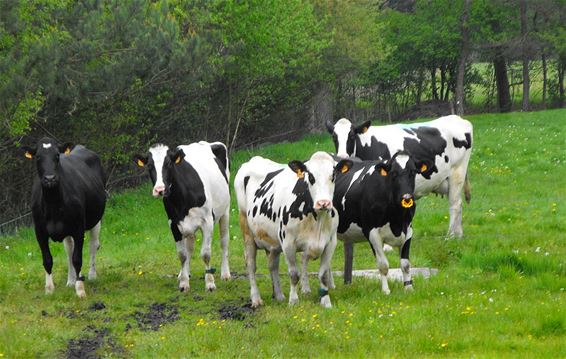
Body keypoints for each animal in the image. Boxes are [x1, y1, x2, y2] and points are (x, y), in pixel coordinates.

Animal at [21, 138, 108, 298]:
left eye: (57, 156)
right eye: (38, 157)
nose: (50, 178)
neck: (53, 203)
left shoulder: (79, 228)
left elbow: (77, 259)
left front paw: (80, 289)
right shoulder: (39, 231)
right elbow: (48, 259)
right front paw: (49, 289)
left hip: (96, 218)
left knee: (93, 245)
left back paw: (91, 275)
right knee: (69, 249)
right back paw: (71, 280)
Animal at [136, 142, 232, 294]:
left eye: (169, 163)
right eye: (149, 166)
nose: (160, 189)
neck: (181, 199)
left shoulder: (207, 221)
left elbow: (206, 254)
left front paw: (210, 283)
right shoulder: (173, 224)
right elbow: (182, 254)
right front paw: (184, 283)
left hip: (225, 211)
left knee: (224, 241)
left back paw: (225, 274)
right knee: (190, 247)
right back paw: (183, 273)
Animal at [234, 153, 350, 310]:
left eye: (333, 175)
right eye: (310, 176)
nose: (323, 203)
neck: (317, 220)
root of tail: (254, 159)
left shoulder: (330, 242)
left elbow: (324, 275)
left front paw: (326, 302)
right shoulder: (288, 243)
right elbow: (294, 274)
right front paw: (293, 301)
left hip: (272, 241)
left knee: (273, 265)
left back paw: (279, 295)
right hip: (247, 231)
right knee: (251, 265)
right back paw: (256, 299)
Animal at [304, 152, 432, 296]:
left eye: (413, 172)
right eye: (393, 173)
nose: (406, 197)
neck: (396, 220)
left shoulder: (408, 230)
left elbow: (405, 264)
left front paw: (408, 288)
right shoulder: (372, 232)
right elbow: (383, 265)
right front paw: (386, 290)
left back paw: (331, 286)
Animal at [328, 115, 474, 239]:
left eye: (352, 135)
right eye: (334, 137)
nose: (342, 156)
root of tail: (459, 119)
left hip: (457, 173)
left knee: (455, 204)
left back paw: (450, 236)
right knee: (458, 203)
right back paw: (459, 234)